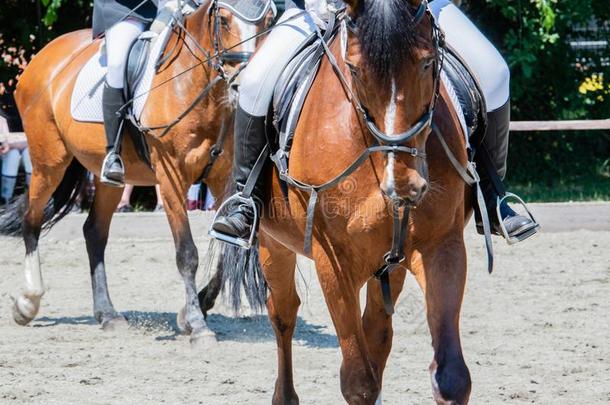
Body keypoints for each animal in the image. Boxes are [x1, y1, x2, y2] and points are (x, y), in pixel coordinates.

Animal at [0, 1, 268, 346]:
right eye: (222, 20)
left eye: (267, 21)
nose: (243, 84)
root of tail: (44, 55)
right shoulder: (170, 179)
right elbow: (187, 253)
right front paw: (197, 324)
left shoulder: (224, 182)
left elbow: (225, 248)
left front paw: (192, 310)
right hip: (49, 162)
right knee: (31, 221)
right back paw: (28, 302)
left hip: (107, 177)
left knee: (94, 232)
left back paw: (108, 315)